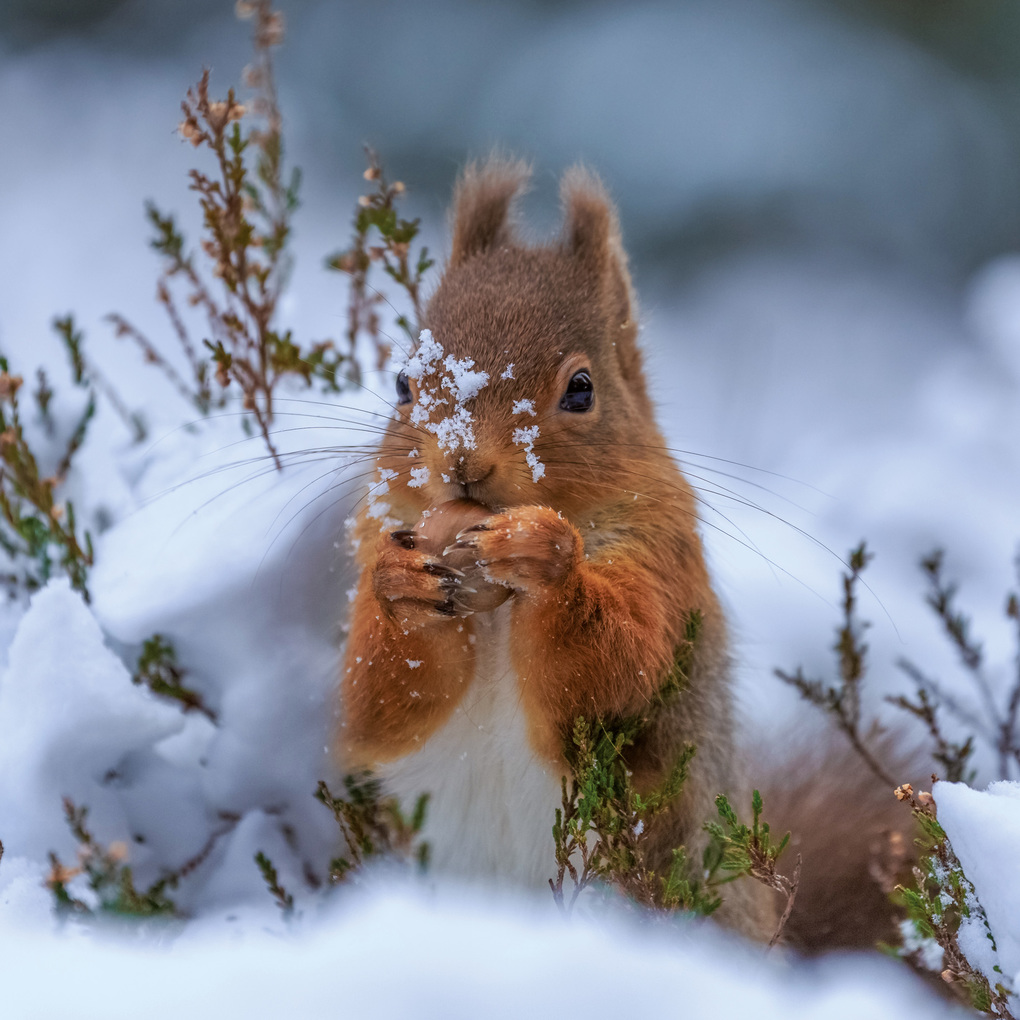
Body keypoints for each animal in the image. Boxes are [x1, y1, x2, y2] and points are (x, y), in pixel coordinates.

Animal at [337, 158, 907, 947]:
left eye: (582, 390)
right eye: (402, 382)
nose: (463, 462)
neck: (498, 612)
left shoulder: (664, 558)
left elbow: (618, 660)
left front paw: (545, 558)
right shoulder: (378, 540)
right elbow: (381, 703)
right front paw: (397, 586)